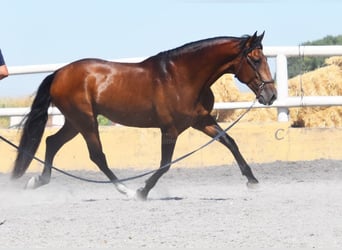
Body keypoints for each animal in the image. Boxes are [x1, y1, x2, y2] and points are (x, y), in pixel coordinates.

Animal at [12, 31, 276, 199]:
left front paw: (253, 181)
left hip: (74, 122)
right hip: (85, 121)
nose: (271, 95)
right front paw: (142, 191)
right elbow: (165, 164)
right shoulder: (170, 130)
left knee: (51, 142)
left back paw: (36, 181)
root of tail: (58, 73)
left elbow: (230, 142)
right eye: (255, 60)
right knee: (97, 156)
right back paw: (126, 191)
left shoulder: (201, 121)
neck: (182, 77)